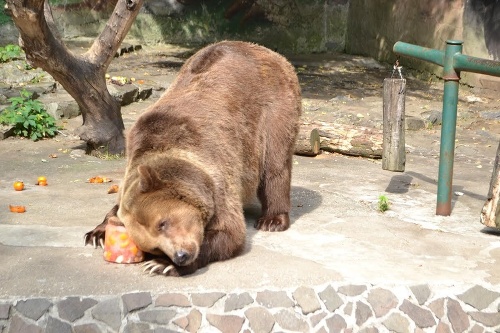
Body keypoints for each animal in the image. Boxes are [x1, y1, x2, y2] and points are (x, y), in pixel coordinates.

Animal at [84, 40, 300, 274]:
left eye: (162, 223)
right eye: (154, 246)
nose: (181, 256)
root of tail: (264, 50)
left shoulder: (216, 169)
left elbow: (230, 232)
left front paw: (161, 265)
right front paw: (97, 233)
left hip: (273, 107)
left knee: (275, 164)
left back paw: (272, 220)